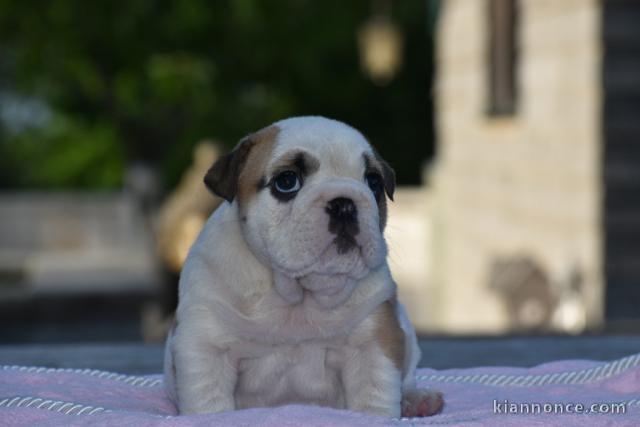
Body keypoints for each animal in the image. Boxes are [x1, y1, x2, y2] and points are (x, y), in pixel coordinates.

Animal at [165, 116, 442, 418]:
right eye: (287, 182)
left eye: (374, 182)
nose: (344, 203)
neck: (298, 295)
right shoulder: (207, 346)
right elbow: (209, 402)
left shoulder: (371, 342)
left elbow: (373, 396)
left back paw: (417, 400)